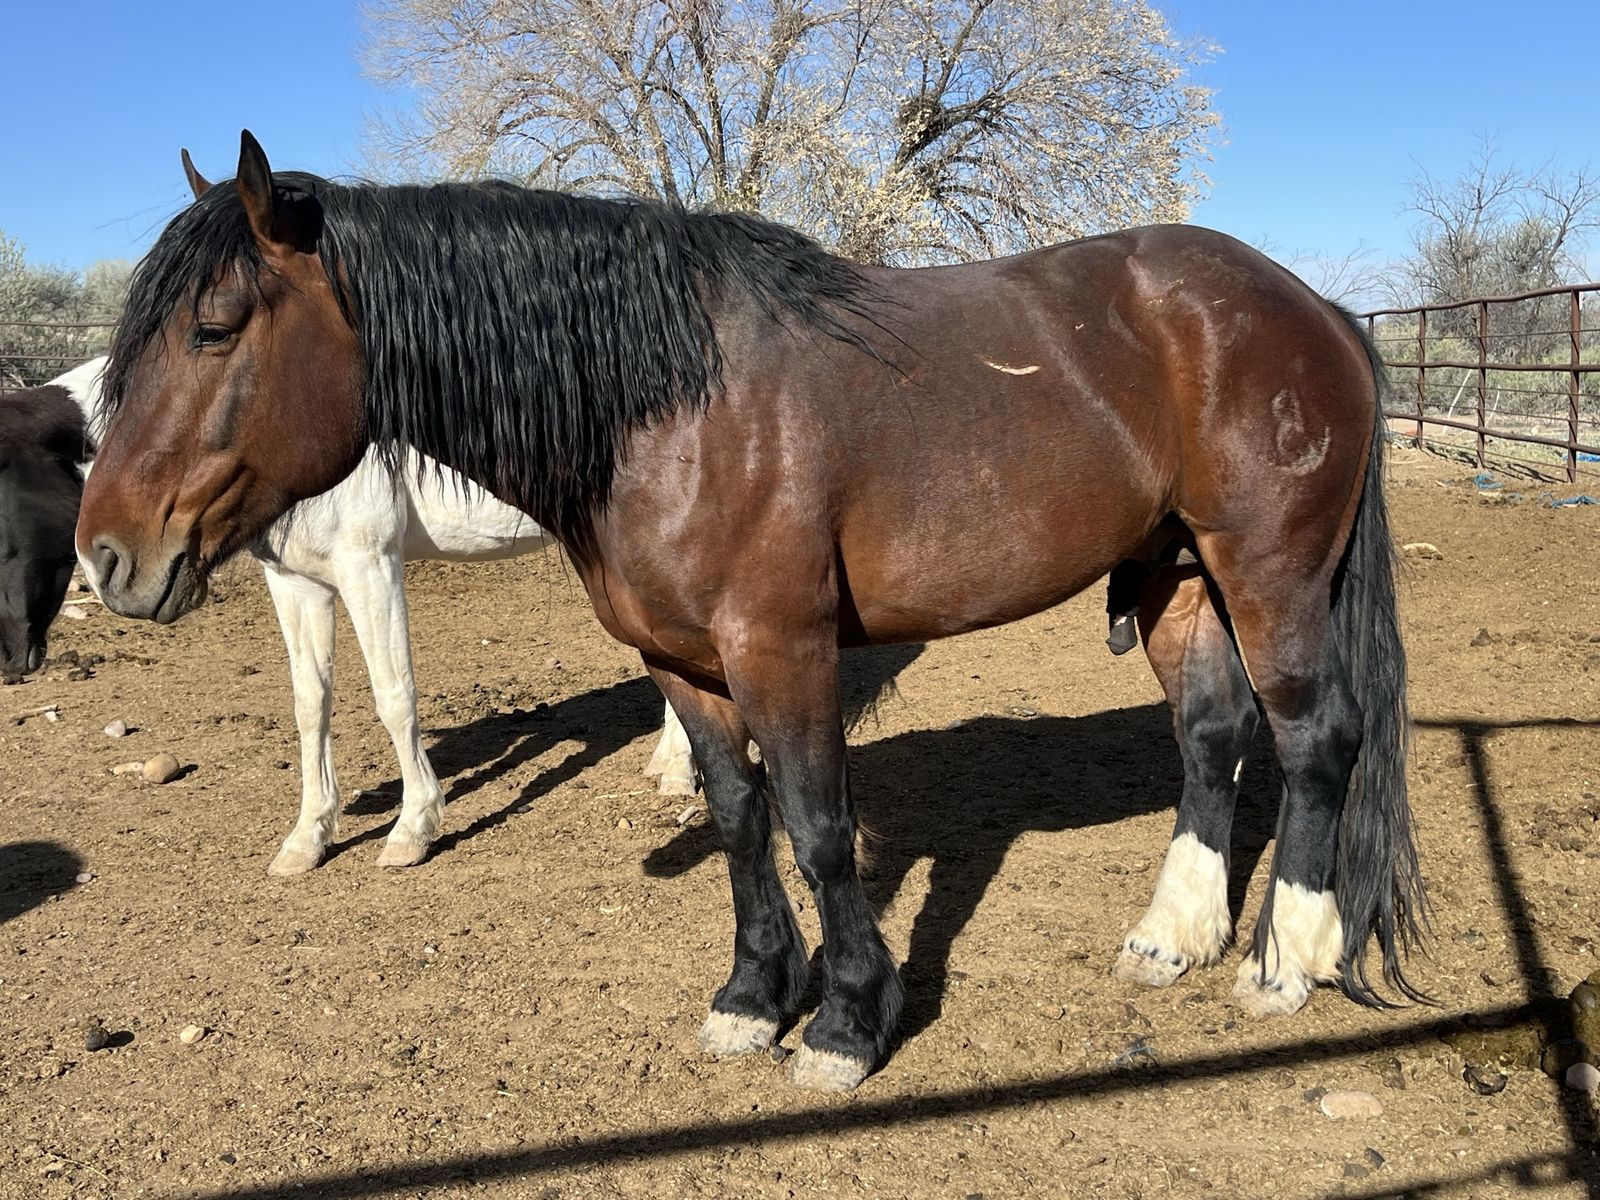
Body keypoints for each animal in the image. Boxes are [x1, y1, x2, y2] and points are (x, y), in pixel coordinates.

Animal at [61, 352, 695, 874]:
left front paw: (414, 827)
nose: (105, 566)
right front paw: (308, 837)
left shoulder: (368, 567)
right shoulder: (296, 583)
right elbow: (310, 704)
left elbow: (395, 696)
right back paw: (669, 762)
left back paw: (680, 771)